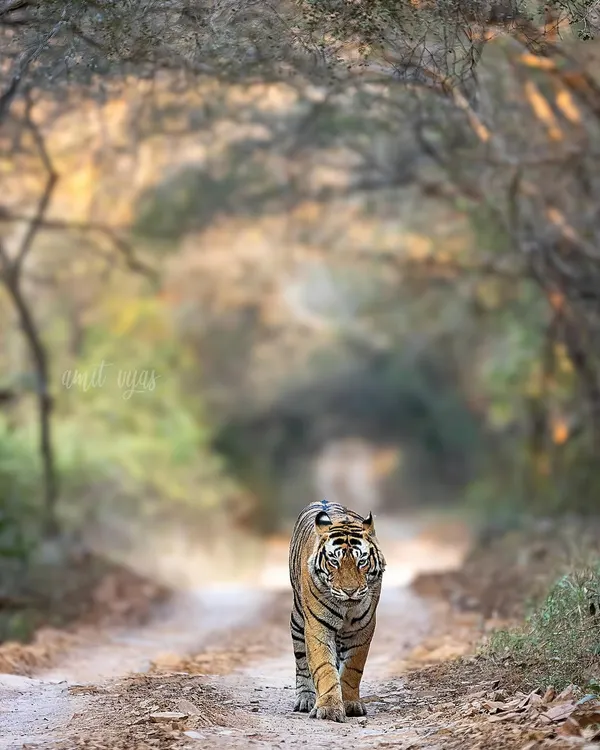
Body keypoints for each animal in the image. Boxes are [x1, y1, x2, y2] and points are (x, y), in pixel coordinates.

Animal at [288, 499, 386, 723]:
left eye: (362, 561)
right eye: (334, 561)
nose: (350, 591)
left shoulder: (363, 628)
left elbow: (352, 669)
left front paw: (349, 703)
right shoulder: (317, 627)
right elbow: (323, 667)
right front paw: (329, 708)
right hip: (297, 619)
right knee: (301, 660)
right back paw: (305, 699)